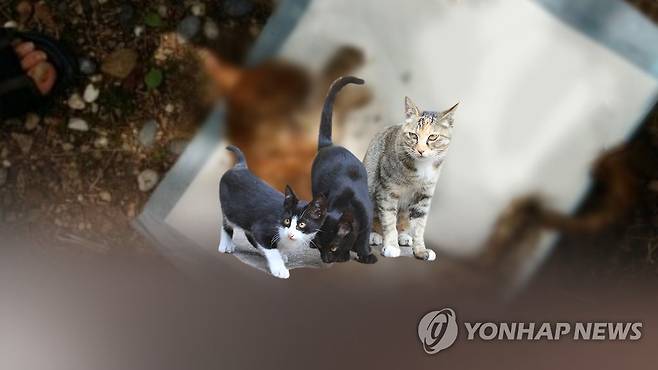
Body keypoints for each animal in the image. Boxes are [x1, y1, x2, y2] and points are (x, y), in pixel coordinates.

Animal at [219, 145, 326, 278]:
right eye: (287, 221)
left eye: (302, 224)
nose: (290, 234)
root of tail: (240, 167)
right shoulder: (261, 227)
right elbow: (271, 249)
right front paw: (279, 268)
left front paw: (281, 253)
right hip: (230, 209)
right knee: (227, 223)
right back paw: (226, 244)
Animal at [310, 76, 376, 264]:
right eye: (321, 247)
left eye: (333, 247)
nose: (325, 259)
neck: (347, 204)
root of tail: (329, 145)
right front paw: (345, 255)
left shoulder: (368, 220)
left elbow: (363, 239)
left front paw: (365, 254)